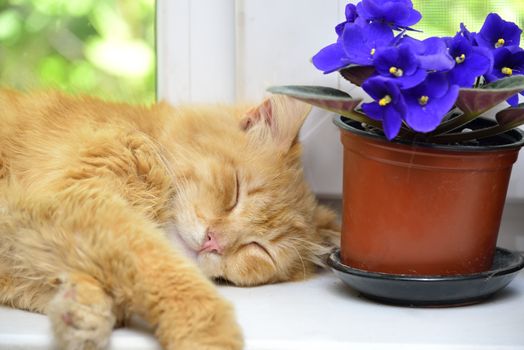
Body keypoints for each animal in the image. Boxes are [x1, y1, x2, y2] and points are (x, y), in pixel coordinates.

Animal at [0, 91, 340, 350]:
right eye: (235, 192)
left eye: (259, 249)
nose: (213, 241)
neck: (146, 134)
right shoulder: (79, 197)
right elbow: (170, 275)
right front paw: (210, 336)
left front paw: (81, 311)